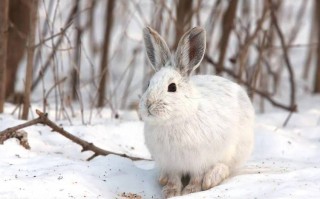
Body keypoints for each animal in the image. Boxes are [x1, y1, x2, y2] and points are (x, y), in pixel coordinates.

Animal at [139, 26, 254, 197]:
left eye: (172, 87)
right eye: (148, 84)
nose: (148, 104)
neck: (173, 120)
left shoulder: (200, 160)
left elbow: (197, 177)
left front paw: (190, 191)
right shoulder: (172, 163)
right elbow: (174, 178)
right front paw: (171, 192)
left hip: (237, 150)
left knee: (227, 167)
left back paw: (212, 178)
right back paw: (162, 178)